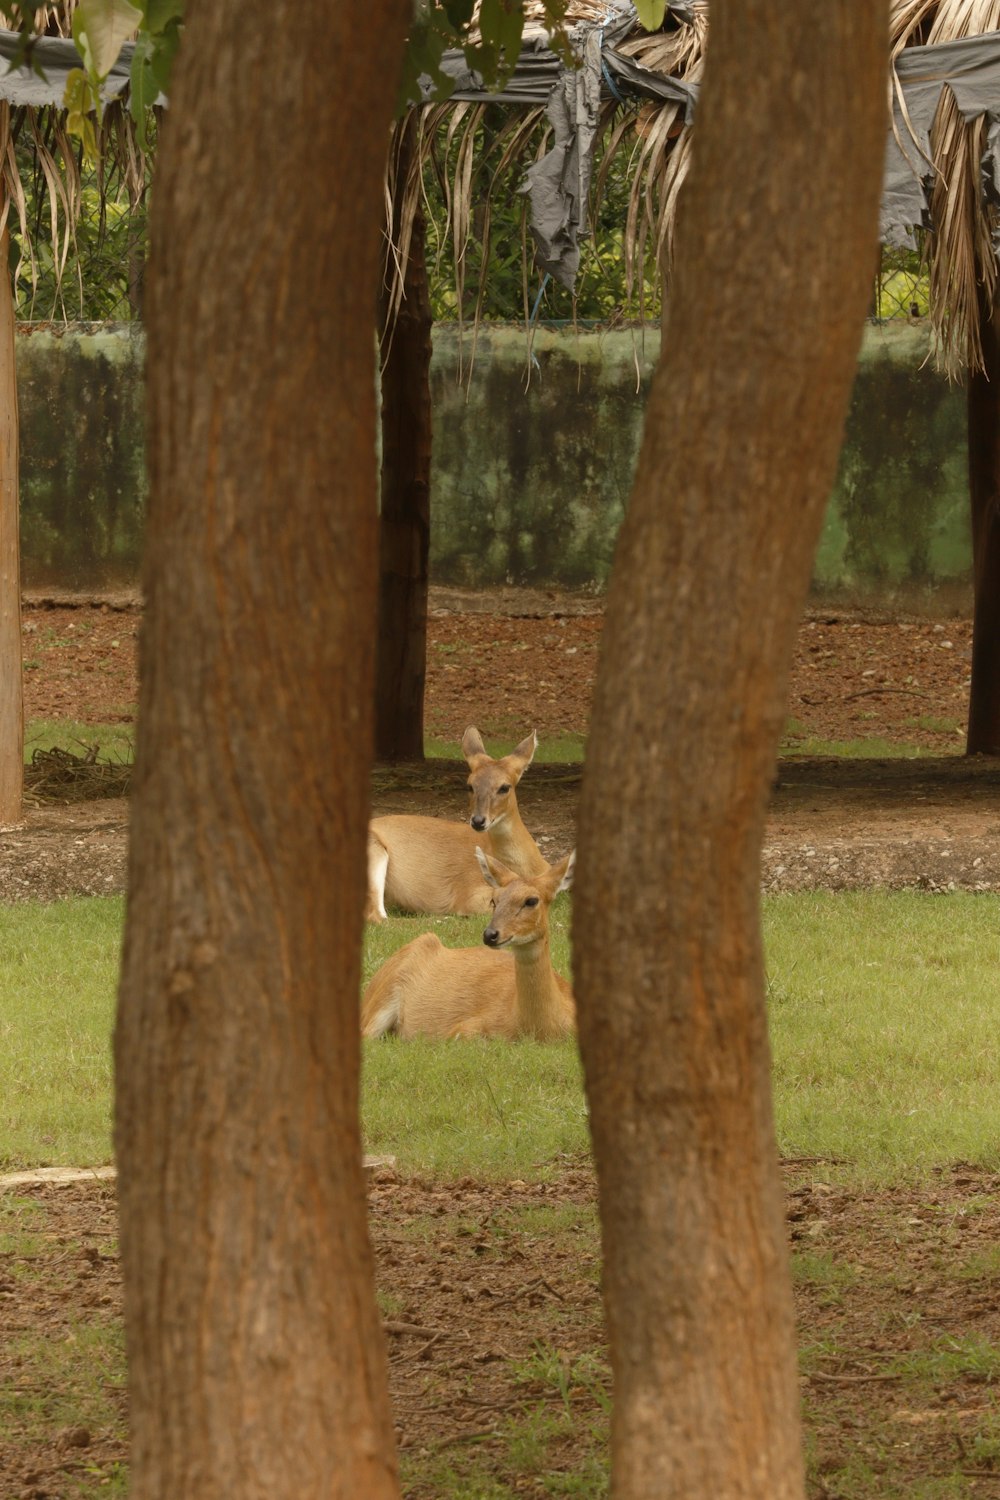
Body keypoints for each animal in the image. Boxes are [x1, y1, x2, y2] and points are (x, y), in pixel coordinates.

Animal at [365, 729, 551, 924]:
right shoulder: (470, 894)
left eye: (505, 787)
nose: (478, 820)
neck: (528, 867)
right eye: (470, 786)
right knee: (377, 916)